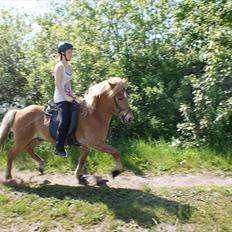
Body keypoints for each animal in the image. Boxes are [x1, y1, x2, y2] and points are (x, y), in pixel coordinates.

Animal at [0, 77, 133, 182]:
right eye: (120, 98)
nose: (130, 118)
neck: (93, 115)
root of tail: (18, 112)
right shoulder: (96, 143)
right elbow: (115, 151)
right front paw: (116, 171)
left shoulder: (87, 145)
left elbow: (82, 160)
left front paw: (78, 175)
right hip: (22, 140)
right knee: (11, 154)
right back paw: (8, 176)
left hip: (37, 139)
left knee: (29, 149)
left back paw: (41, 165)